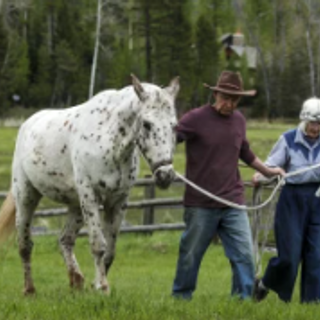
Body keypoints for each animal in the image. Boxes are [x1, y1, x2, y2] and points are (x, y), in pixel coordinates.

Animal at [0, 75, 180, 296]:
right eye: (146, 124)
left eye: (174, 125)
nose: (166, 175)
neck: (109, 140)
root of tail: (27, 124)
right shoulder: (91, 195)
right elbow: (98, 245)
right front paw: (102, 286)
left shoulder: (118, 202)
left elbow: (110, 251)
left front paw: (97, 286)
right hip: (27, 195)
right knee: (25, 244)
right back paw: (29, 289)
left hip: (76, 206)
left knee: (65, 240)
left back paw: (76, 281)